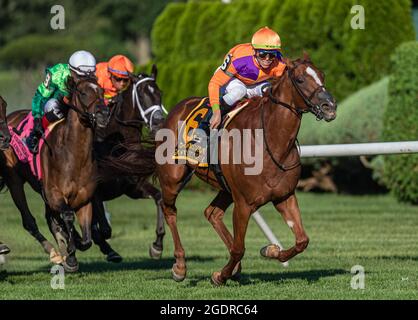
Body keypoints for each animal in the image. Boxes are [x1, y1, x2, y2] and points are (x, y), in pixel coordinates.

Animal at [0, 76, 109, 272]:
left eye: (102, 92)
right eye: (83, 93)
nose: (104, 114)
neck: (74, 155)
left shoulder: (84, 199)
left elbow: (86, 238)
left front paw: (74, 246)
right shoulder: (54, 195)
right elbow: (67, 218)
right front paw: (70, 253)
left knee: (51, 220)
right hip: (15, 182)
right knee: (30, 221)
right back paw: (55, 252)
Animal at [90, 65, 166, 262]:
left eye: (159, 92)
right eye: (140, 93)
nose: (159, 121)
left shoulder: (133, 187)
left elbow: (159, 197)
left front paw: (157, 245)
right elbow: (103, 228)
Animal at [156, 54, 336, 284]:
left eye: (322, 75)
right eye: (301, 79)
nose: (330, 106)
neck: (269, 142)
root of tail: (179, 107)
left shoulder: (284, 196)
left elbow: (302, 240)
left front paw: (270, 250)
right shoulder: (243, 203)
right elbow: (238, 248)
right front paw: (220, 275)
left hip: (224, 186)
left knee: (212, 213)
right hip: (172, 177)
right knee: (170, 211)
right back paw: (180, 266)